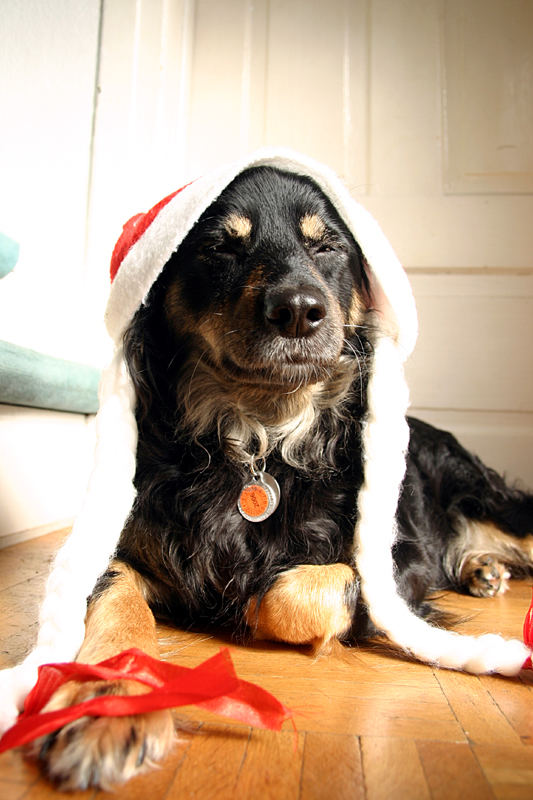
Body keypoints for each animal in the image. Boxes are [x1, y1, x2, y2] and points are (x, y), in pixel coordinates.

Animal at [30, 166, 532, 792]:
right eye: (220, 246)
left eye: (327, 246)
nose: (297, 309)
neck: (262, 440)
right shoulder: (126, 545)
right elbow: (115, 601)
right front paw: (108, 703)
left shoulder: (403, 562)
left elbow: (291, 591)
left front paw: (242, 608)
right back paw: (482, 568)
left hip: (486, 496)